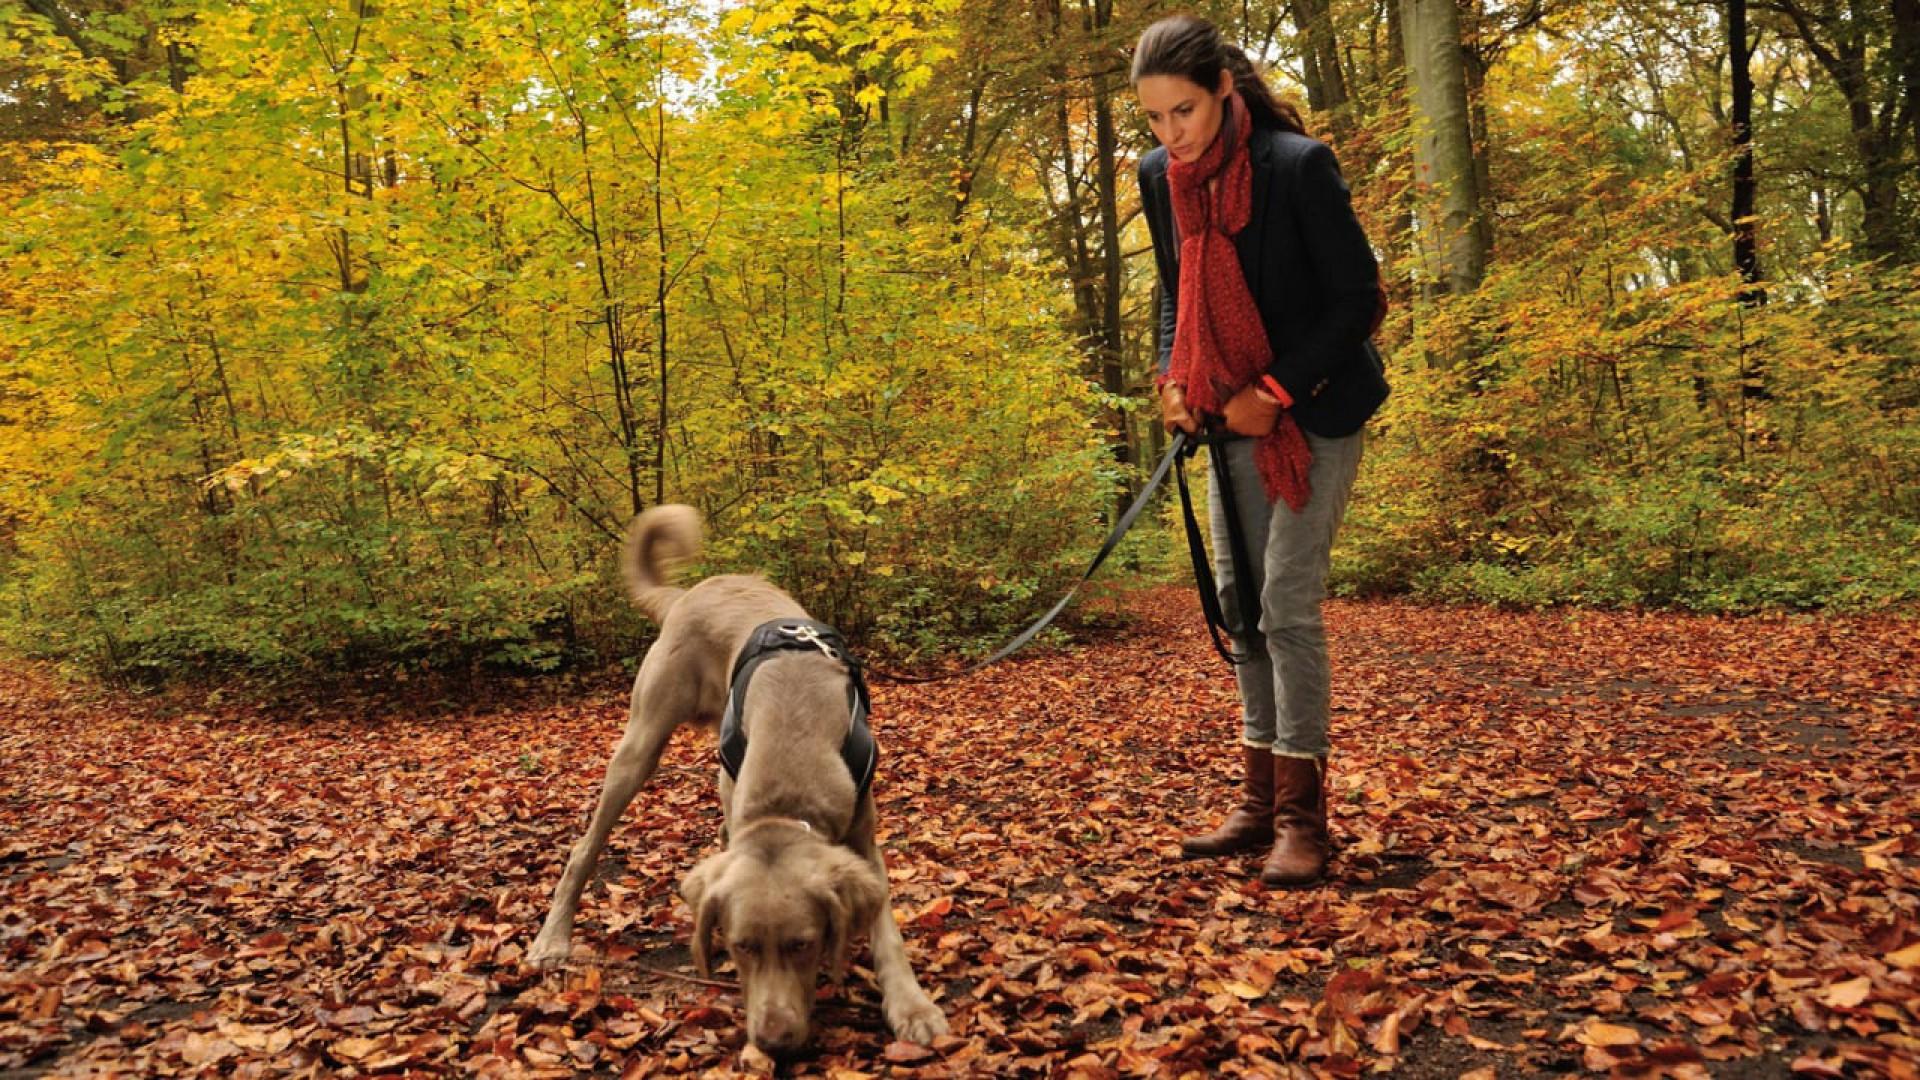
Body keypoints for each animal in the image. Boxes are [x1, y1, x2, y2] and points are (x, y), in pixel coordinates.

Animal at [529, 503, 948, 1053]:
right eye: (741, 946)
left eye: (804, 945)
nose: (773, 1040)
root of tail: (689, 593)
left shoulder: (863, 833)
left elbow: (886, 930)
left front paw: (910, 1005)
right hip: (640, 743)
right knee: (585, 848)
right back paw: (551, 938)